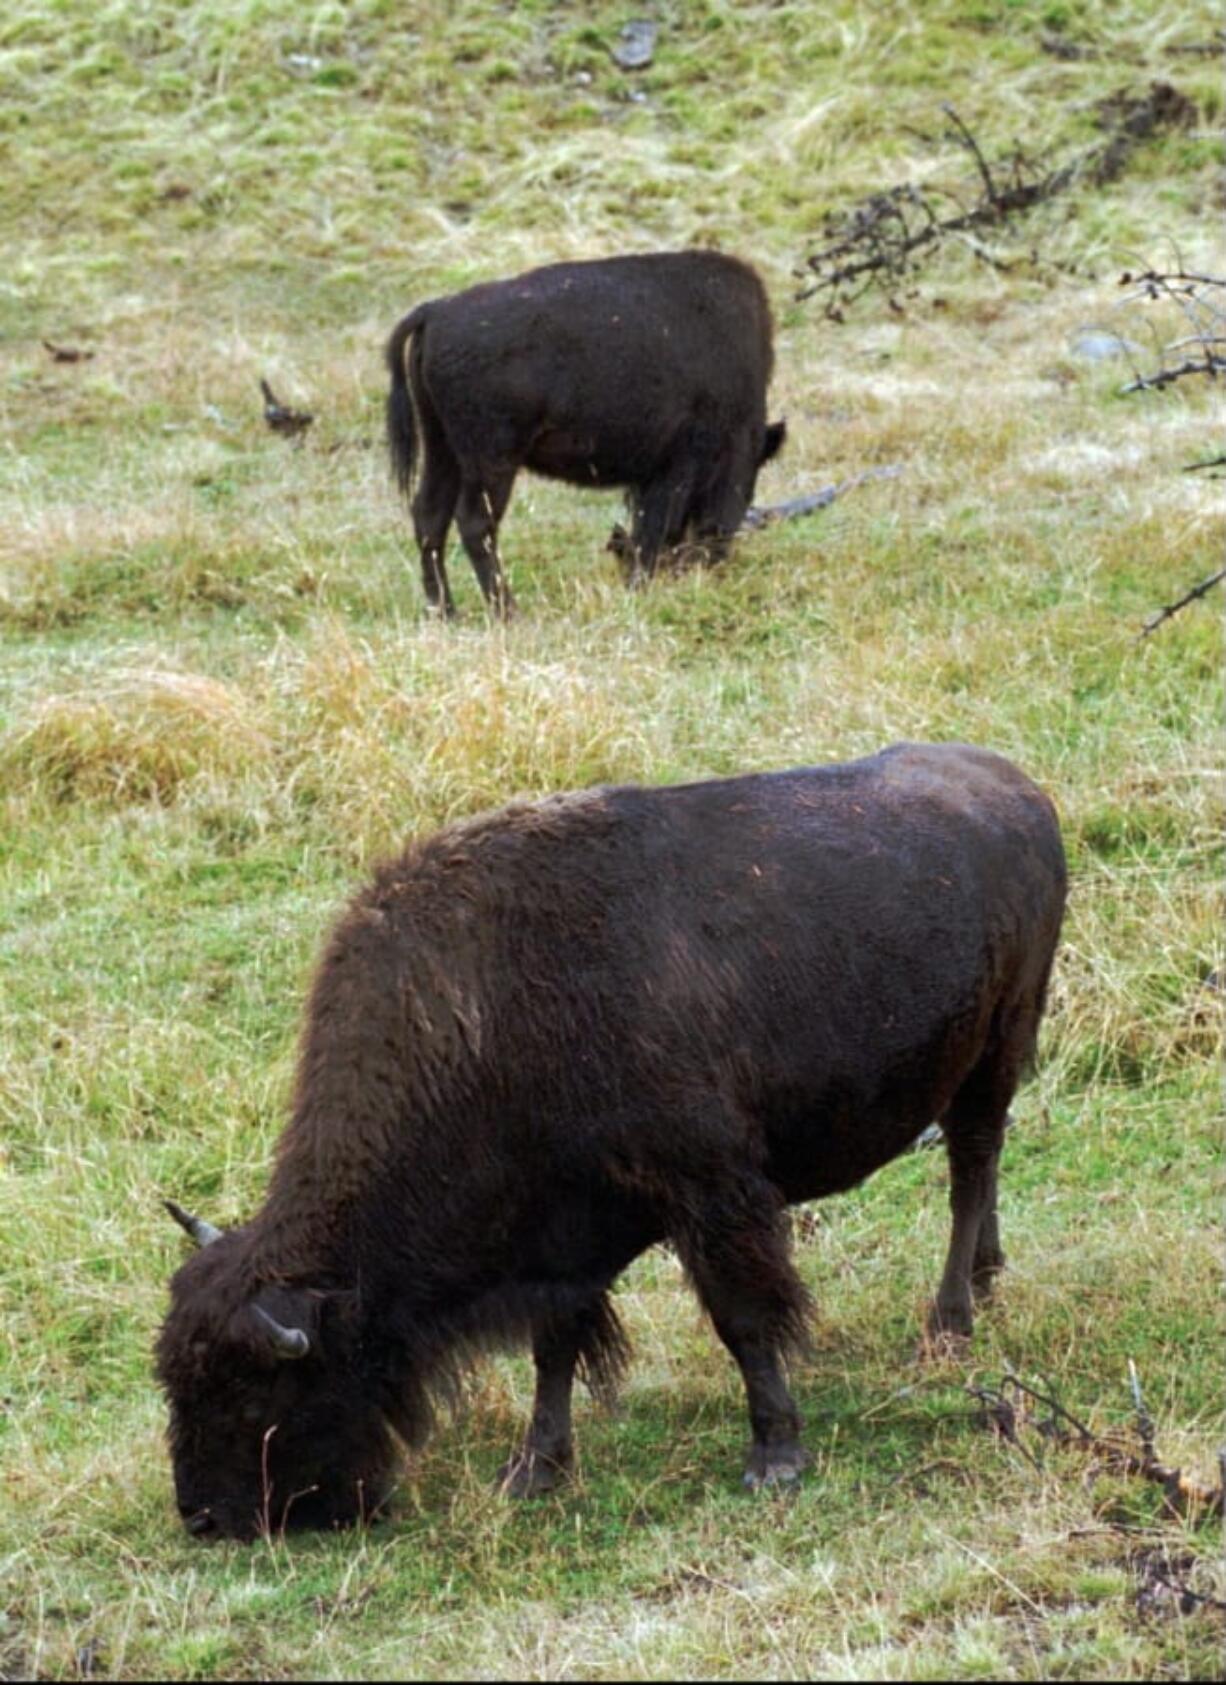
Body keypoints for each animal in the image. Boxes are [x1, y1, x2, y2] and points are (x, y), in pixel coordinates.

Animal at [155, 741, 1064, 1543]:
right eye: (173, 1379)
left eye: (256, 1392)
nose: (206, 1518)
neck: (485, 1015)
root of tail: (1020, 789)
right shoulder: (561, 1242)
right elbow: (555, 1348)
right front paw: (534, 1469)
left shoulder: (713, 1195)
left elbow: (743, 1320)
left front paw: (774, 1455)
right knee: (979, 1173)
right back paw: (987, 1278)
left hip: (995, 1053)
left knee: (970, 1168)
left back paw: (949, 1321)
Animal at [383, 249, 784, 620]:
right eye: (747, 486)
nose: (712, 564)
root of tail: (437, 313)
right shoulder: (679, 466)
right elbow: (656, 529)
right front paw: (639, 587)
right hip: (492, 461)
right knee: (474, 524)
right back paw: (509, 613)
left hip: (443, 449)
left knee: (430, 516)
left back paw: (446, 613)